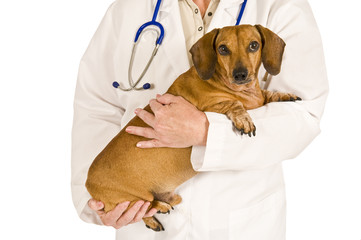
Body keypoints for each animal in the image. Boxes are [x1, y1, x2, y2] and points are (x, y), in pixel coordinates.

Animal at [86, 23, 300, 231]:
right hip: (130, 201)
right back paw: (158, 210)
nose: (240, 75)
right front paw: (243, 119)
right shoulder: (210, 107)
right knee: (144, 207)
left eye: (254, 45)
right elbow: (233, 103)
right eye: (223, 49)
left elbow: (266, 95)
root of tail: (89, 183)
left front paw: (283, 95)